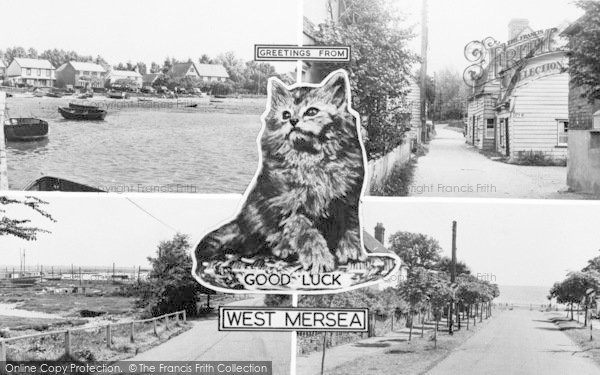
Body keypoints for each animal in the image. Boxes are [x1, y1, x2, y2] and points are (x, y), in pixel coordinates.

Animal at [195, 70, 368, 280]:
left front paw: (351, 250)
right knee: (265, 238)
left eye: (311, 111)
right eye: (286, 115)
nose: (293, 121)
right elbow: (307, 233)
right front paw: (319, 258)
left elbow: (351, 226)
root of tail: (241, 223)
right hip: (257, 212)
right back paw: (283, 248)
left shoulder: (347, 199)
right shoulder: (289, 205)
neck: (311, 159)